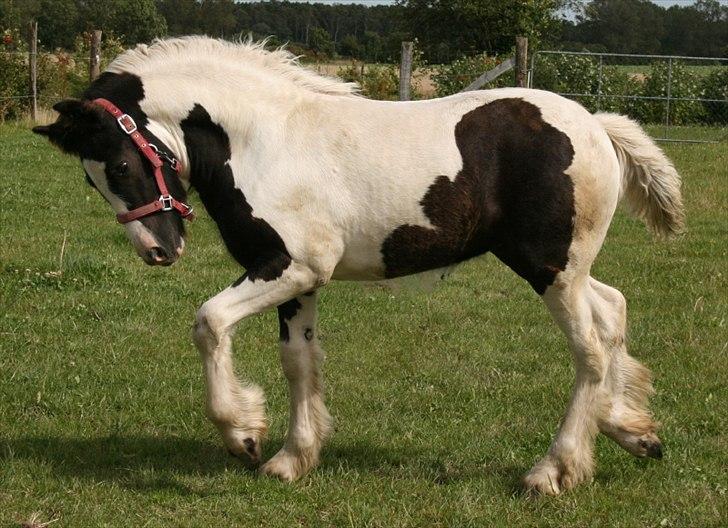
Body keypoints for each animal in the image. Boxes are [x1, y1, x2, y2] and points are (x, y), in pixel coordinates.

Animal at [34, 38, 684, 496]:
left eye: (121, 164)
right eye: (90, 179)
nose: (158, 252)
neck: (264, 141)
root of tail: (596, 124)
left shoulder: (290, 267)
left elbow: (209, 322)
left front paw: (244, 435)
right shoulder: (297, 283)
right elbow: (298, 362)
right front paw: (292, 459)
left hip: (550, 270)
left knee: (589, 351)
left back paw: (553, 470)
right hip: (561, 268)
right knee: (614, 311)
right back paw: (634, 432)